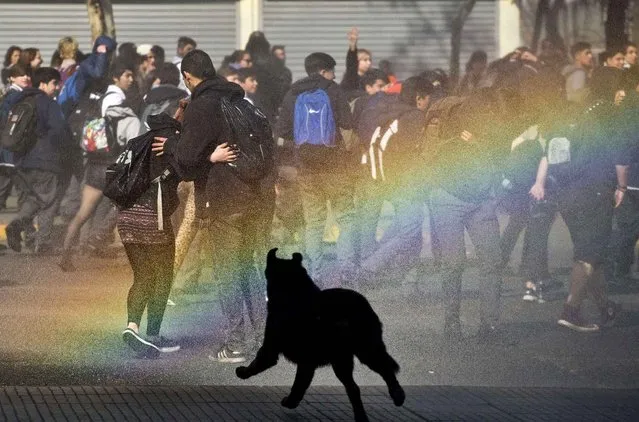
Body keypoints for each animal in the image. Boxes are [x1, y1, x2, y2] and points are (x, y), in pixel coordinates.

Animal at [235, 249, 404, 420]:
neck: (293, 292)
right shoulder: (307, 361)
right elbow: (301, 382)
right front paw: (292, 401)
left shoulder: (278, 348)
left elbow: (271, 368)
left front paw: (244, 373)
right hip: (357, 353)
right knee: (367, 380)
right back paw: (386, 402)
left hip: (348, 356)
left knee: (370, 377)